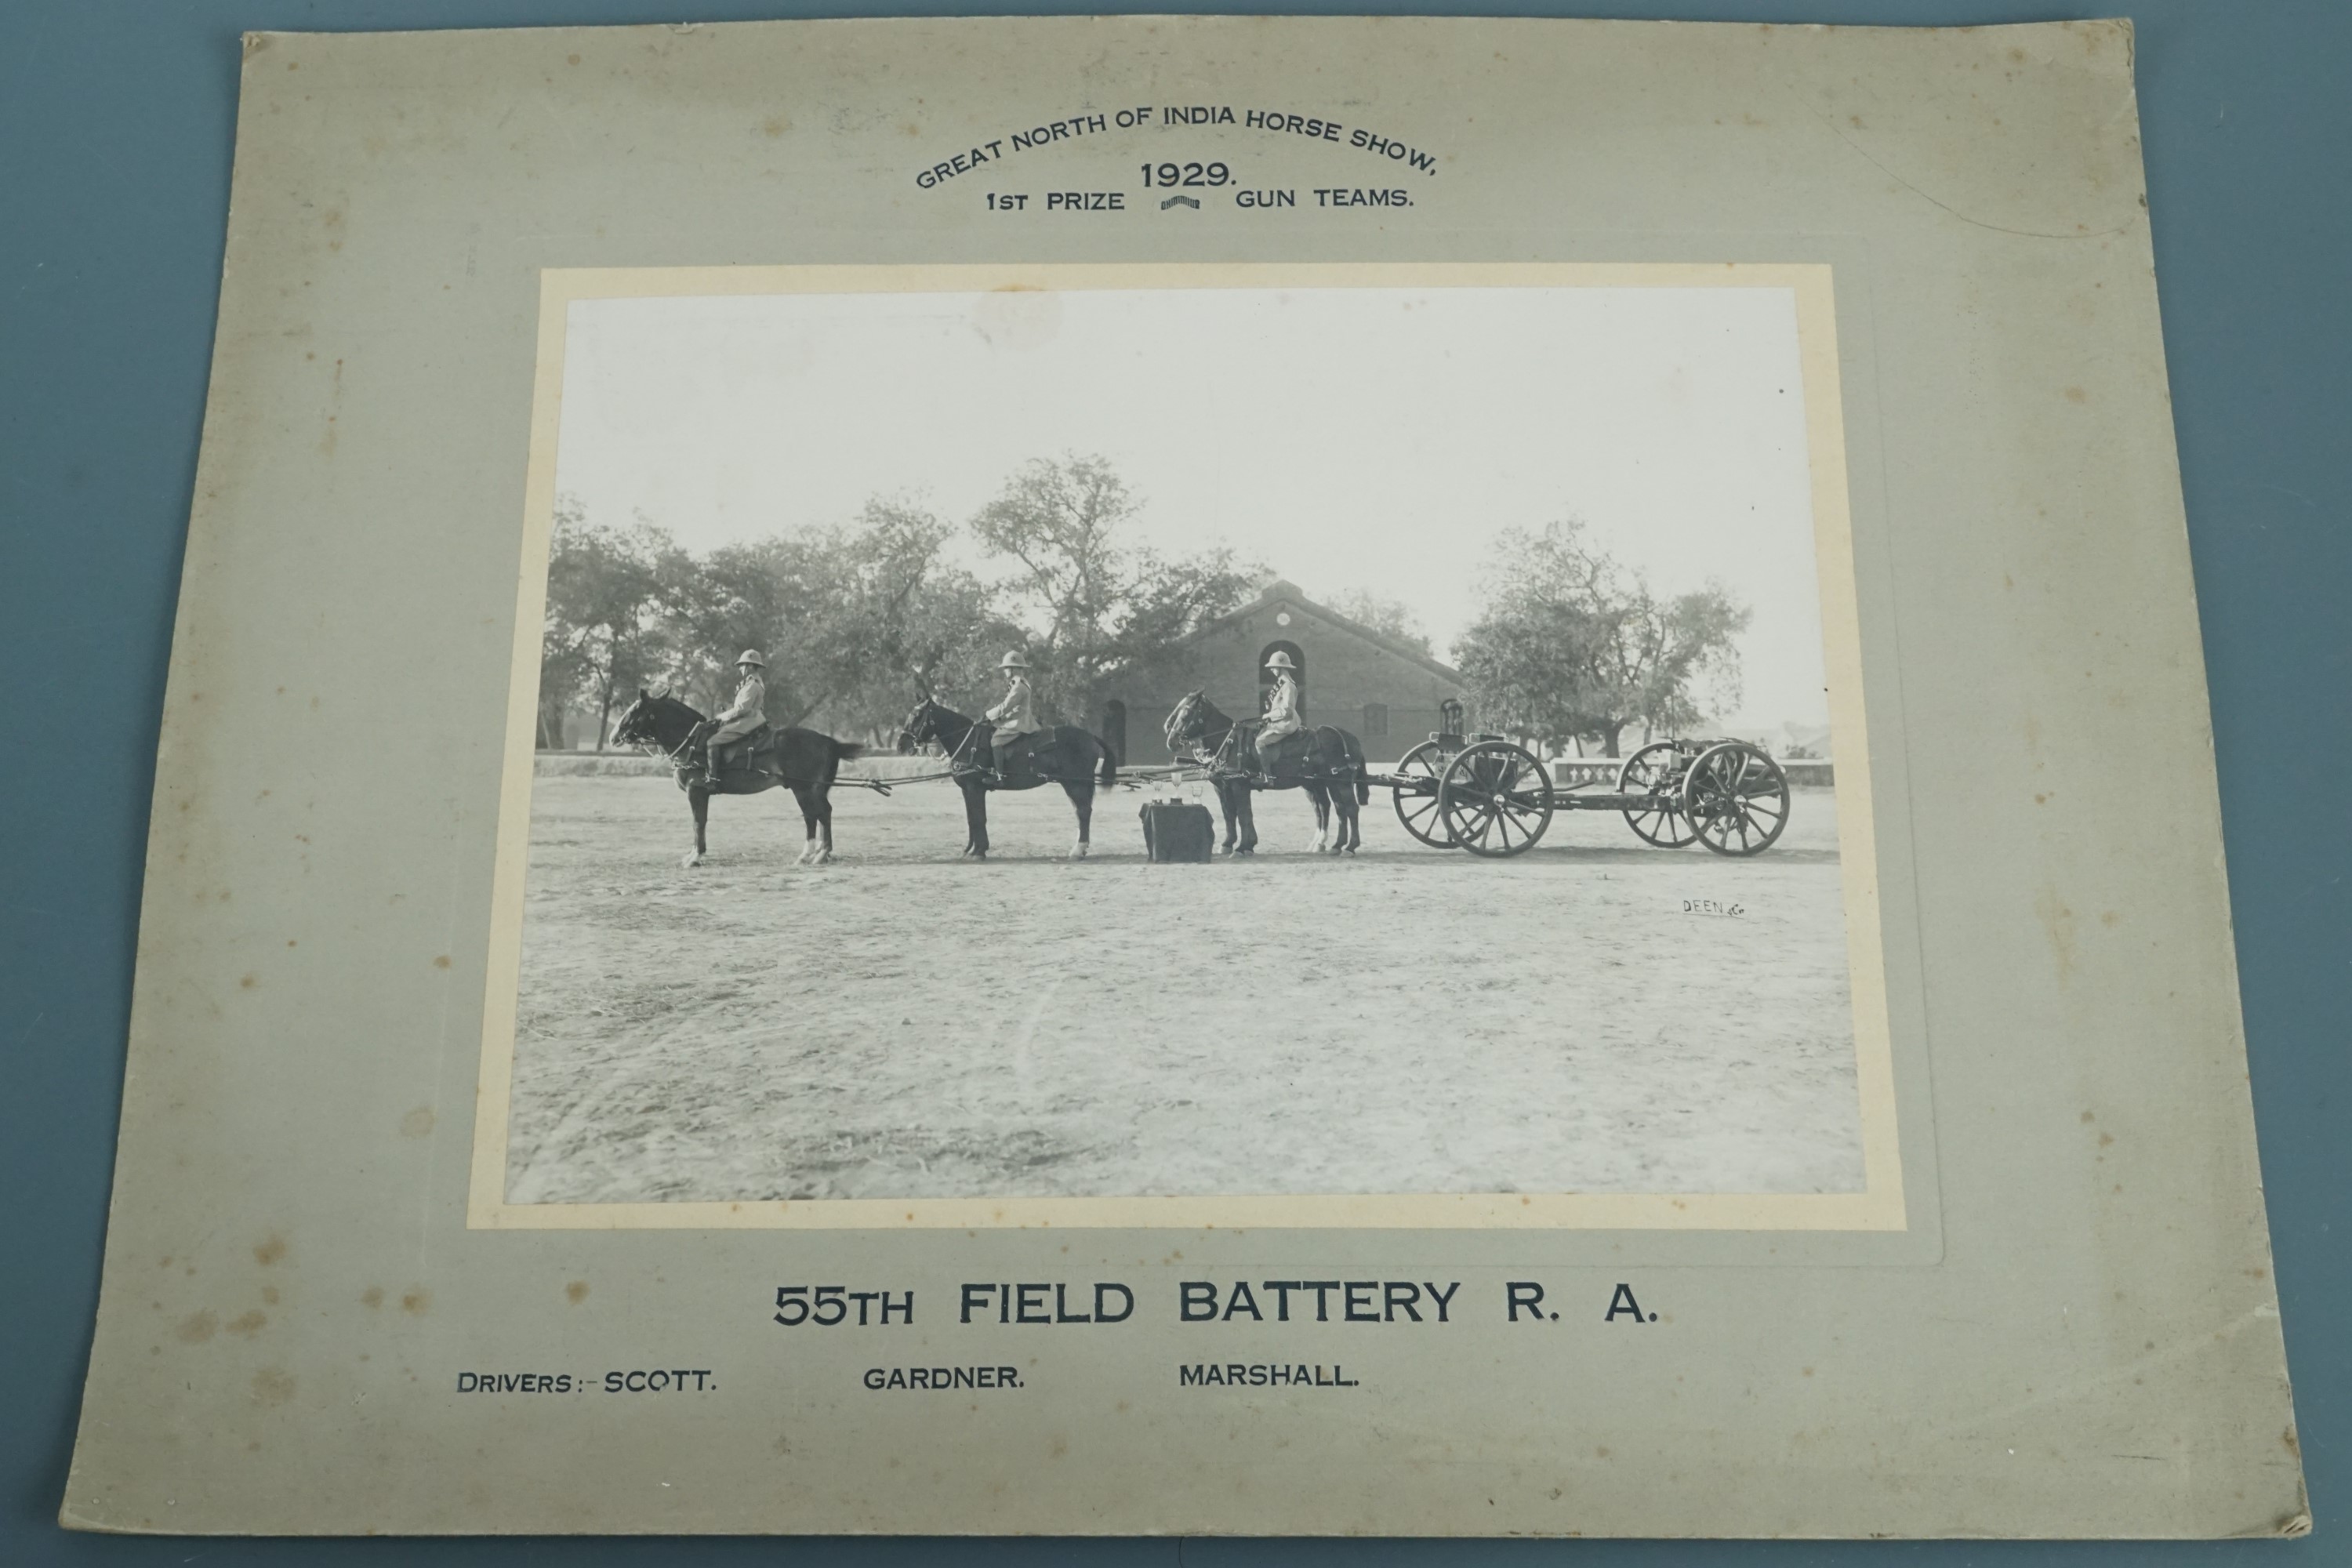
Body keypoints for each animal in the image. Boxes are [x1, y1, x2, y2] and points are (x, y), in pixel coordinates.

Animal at [612, 691, 870, 869]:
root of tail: (828, 740)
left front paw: (695, 857)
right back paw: (820, 853)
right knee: (823, 813)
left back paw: (813, 854)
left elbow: (698, 822)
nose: (614, 736)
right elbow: (699, 823)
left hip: (803, 788)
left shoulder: (696, 792)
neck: (692, 742)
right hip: (816, 789)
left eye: (634, 711)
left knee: (814, 815)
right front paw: (693, 855)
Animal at [898, 700, 1120, 865]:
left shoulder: (975, 789)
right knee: (1081, 812)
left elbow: (978, 819)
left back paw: (1078, 850)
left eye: (917, 715)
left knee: (1083, 812)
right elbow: (972, 819)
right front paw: (972, 849)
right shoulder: (968, 790)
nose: (901, 744)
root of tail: (1090, 736)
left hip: (1075, 784)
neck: (968, 742)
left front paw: (978, 851)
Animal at [1162, 691, 1374, 860]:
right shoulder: (1222, 787)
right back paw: (1336, 845)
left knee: (1351, 809)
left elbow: (1243, 815)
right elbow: (1230, 814)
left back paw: (1350, 847)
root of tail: (1350, 738)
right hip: (1330, 782)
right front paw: (1232, 844)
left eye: (1186, 713)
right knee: (1338, 810)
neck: (1229, 742)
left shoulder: (1239, 786)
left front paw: (1242, 847)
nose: (1171, 740)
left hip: (1341, 783)